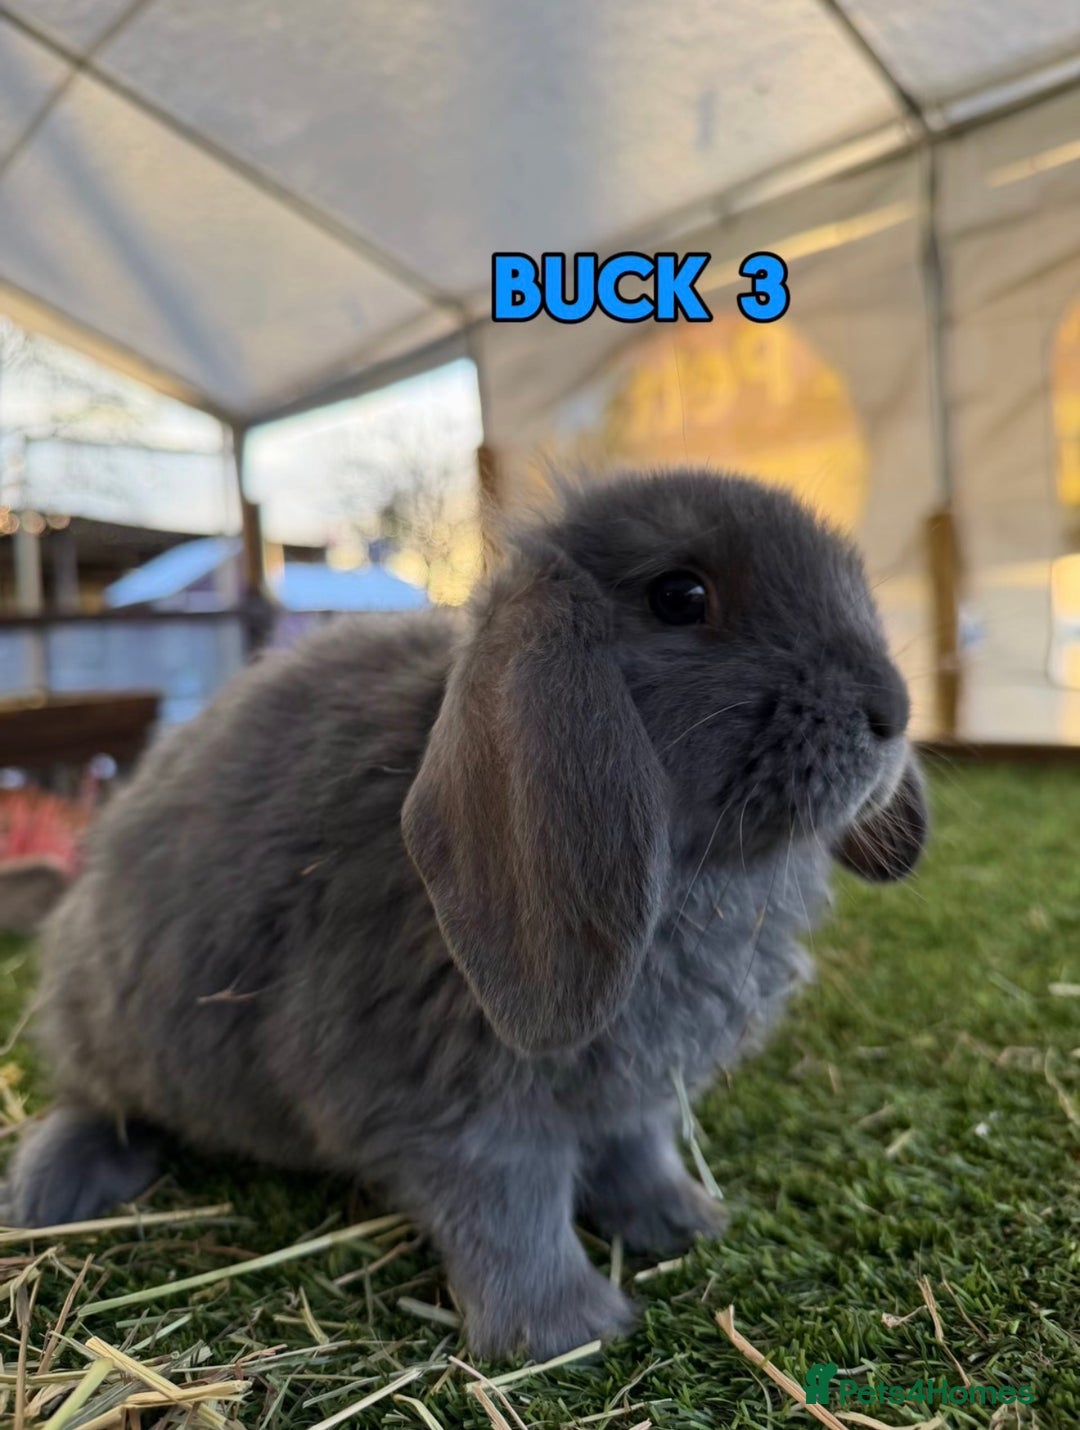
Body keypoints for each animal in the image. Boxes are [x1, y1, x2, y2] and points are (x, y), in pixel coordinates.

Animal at [1, 470, 927, 1359]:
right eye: (681, 596)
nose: (893, 711)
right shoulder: (449, 1100)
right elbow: (509, 1206)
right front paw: (563, 1332)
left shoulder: (630, 1095)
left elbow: (639, 1156)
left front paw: (685, 1224)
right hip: (110, 1031)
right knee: (91, 1100)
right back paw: (51, 1192)